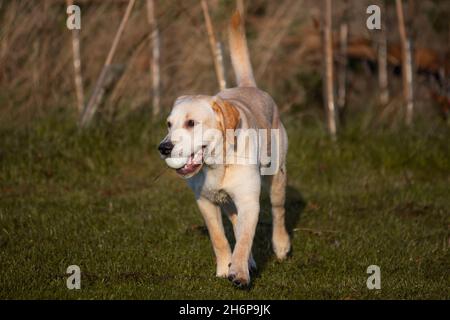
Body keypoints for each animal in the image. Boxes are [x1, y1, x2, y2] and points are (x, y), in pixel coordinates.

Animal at [160, 11, 290, 288]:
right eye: (169, 124)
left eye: (191, 123)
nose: (163, 147)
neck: (217, 165)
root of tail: (249, 86)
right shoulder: (205, 203)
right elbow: (220, 238)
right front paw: (224, 268)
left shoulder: (250, 201)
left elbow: (244, 238)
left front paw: (239, 272)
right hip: (229, 200)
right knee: (236, 222)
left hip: (277, 177)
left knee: (278, 211)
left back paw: (281, 245)